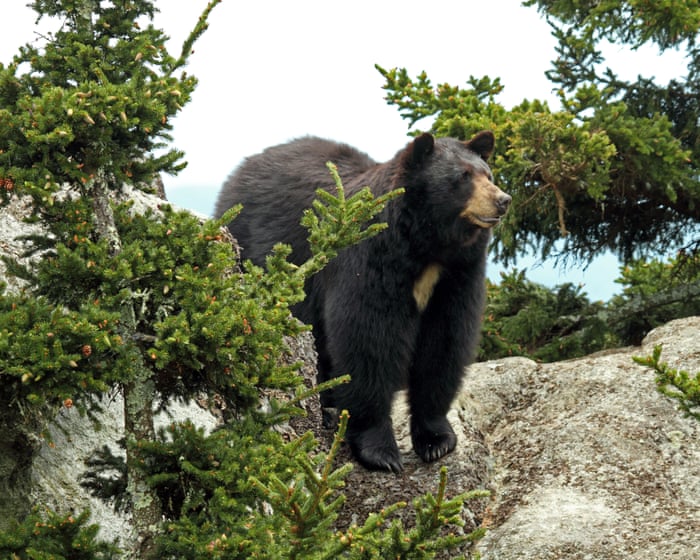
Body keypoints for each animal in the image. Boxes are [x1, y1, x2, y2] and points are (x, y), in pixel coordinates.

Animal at [214, 131, 511, 472]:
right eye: (462, 177)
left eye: (488, 174)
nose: (503, 200)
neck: (427, 247)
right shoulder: (370, 258)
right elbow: (369, 340)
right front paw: (380, 451)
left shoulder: (457, 275)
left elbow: (445, 341)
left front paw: (437, 439)